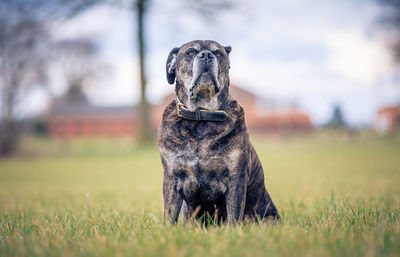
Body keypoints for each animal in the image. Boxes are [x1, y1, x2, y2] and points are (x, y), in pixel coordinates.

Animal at [157, 40, 278, 224]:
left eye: (219, 53)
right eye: (190, 53)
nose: (206, 55)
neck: (201, 116)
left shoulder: (236, 179)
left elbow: (234, 216)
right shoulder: (172, 178)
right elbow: (170, 215)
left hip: (267, 219)